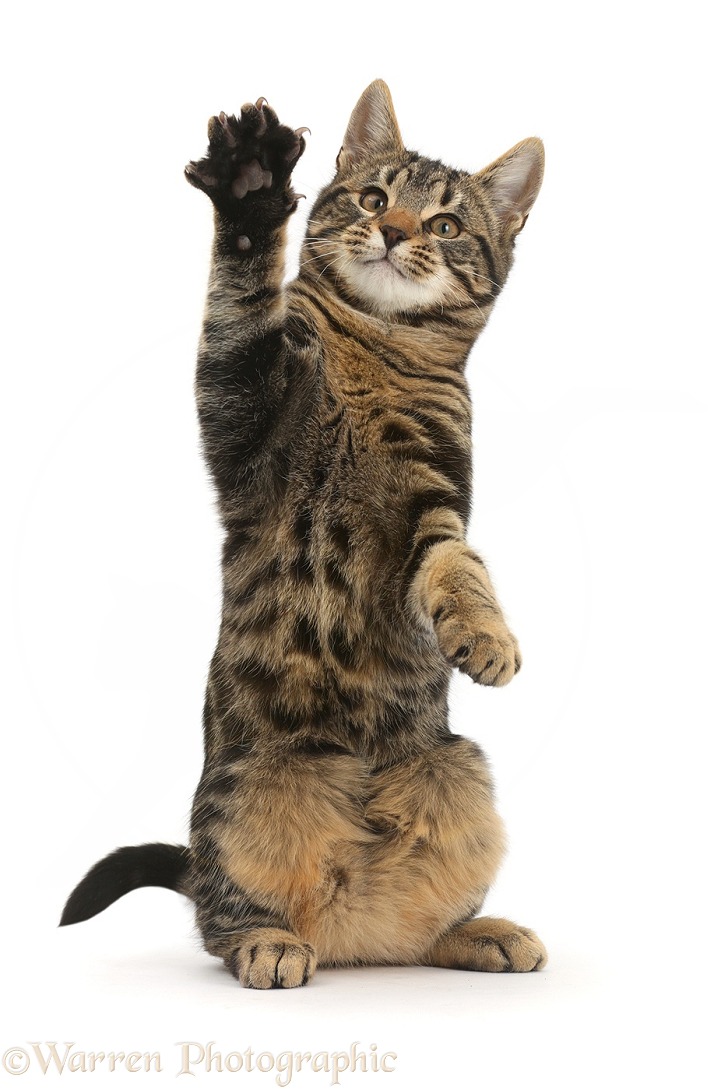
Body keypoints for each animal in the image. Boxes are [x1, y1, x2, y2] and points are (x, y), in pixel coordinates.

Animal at [61, 80, 545, 989]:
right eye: (373, 198)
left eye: (446, 226)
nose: (394, 233)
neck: (376, 349)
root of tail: (350, 928)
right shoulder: (243, 412)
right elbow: (240, 304)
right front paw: (251, 190)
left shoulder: (434, 505)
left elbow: (460, 567)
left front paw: (488, 638)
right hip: (242, 793)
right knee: (220, 911)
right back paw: (268, 941)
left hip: (459, 769)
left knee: (422, 927)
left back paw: (477, 932)